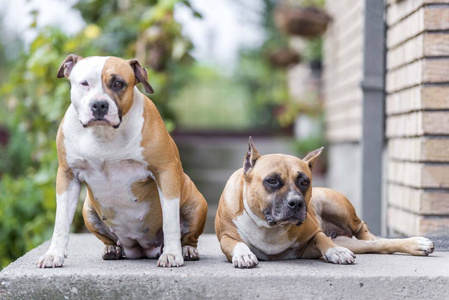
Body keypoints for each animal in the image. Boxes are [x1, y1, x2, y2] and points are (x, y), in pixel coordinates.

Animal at [36, 54, 207, 268]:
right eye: (84, 83)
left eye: (118, 83)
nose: (99, 105)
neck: (104, 134)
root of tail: (141, 248)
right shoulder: (68, 175)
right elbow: (61, 223)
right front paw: (53, 255)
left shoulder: (165, 171)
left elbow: (171, 221)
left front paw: (172, 254)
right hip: (88, 211)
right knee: (110, 239)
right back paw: (111, 249)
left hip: (197, 204)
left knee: (189, 236)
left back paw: (187, 250)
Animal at [215, 137, 432, 268]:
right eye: (272, 180)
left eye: (304, 181)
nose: (296, 203)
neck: (270, 229)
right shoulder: (226, 237)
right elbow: (236, 243)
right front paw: (243, 255)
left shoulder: (314, 234)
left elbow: (322, 239)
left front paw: (336, 251)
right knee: (378, 244)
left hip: (335, 205)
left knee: (367, 232)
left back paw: (416, 243)